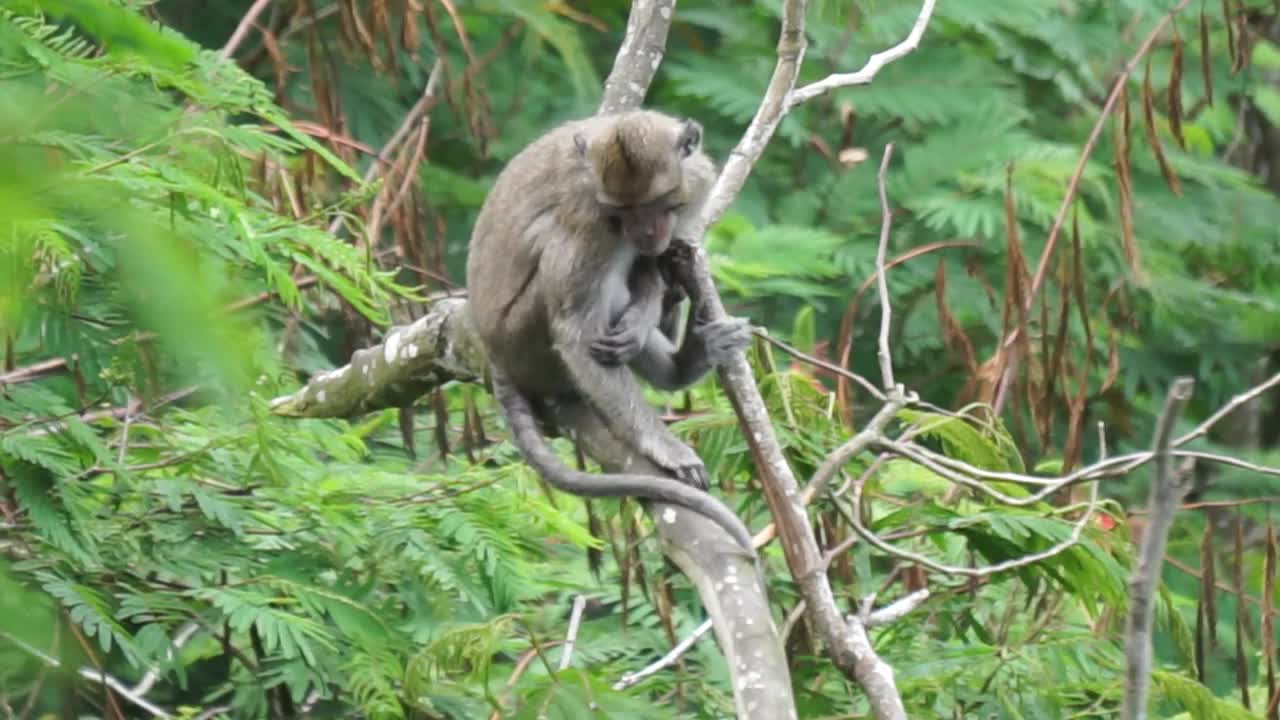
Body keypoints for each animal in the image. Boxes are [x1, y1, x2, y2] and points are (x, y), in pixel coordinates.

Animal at [465, 109, 752, 550]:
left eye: (657, 205)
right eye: (624, 213)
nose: (645, 232)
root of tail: (493, 354)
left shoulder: (697, 184)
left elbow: (659, 258)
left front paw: (645, 310)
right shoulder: (592, 223)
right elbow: (574, 333)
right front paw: (664, 447)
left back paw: (686, 360)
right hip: (524, 342)